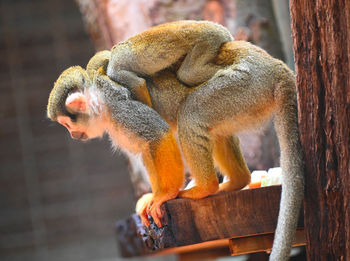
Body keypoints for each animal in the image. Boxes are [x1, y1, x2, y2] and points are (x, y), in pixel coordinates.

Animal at [45, 24, 304, 260]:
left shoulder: (119, 107)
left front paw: (165, 194)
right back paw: (236, 181)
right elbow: (146, 147)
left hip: (245, 84)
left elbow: (157, 133)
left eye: (67, 125)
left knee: (191, 113)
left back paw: (205, 187)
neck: (98, 99)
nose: (73, 135)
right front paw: (152, 196)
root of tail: (275, 66)